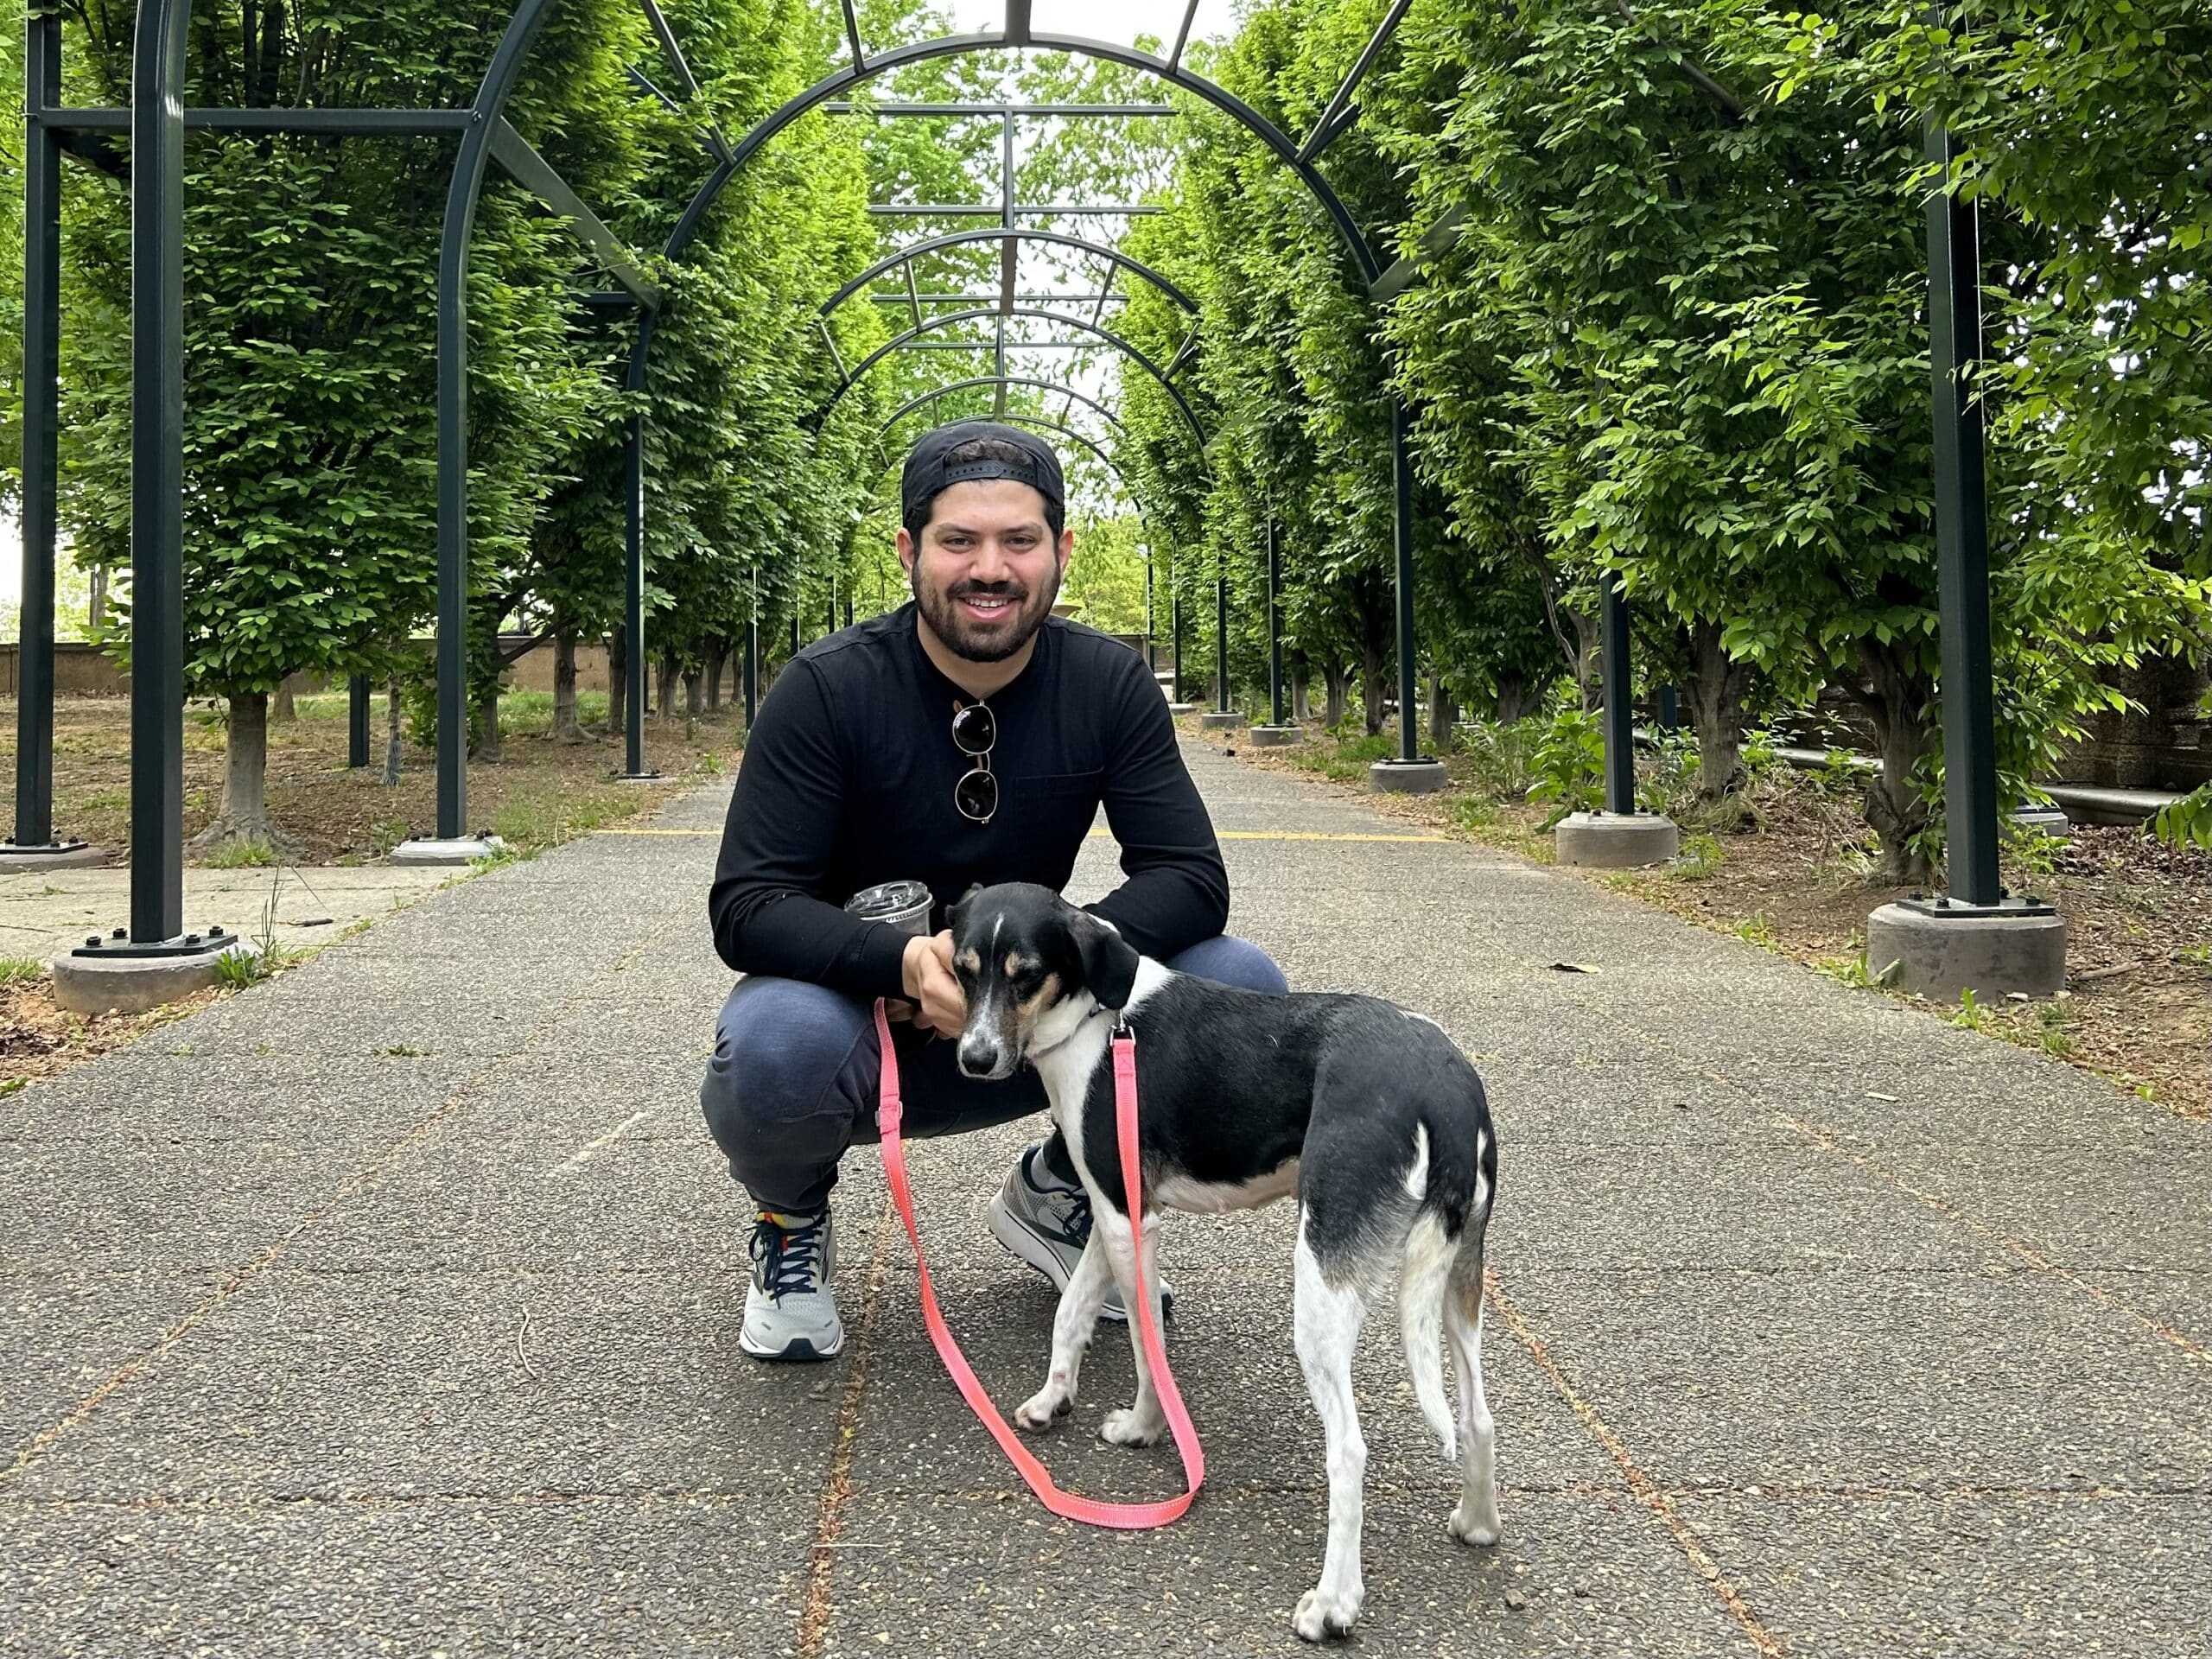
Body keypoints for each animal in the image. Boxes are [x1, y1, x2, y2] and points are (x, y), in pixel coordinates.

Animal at [950, 889, 1503, 1645]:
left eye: (1026, 973)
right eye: (963, 968)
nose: (974, 1058)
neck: (1098, 1020)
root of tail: (1445, 1087)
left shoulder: (1131, 1223)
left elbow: (1145, 1346)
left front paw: (1147, 1429)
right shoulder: (1114, 1208)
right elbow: (1073, 1311)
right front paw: (1051, 1398)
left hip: (1322, 1291)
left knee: (1349, 1450)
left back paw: (1332, 1604)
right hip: (1457, 1282)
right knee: (1478, 1416)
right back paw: (1477, 1523)